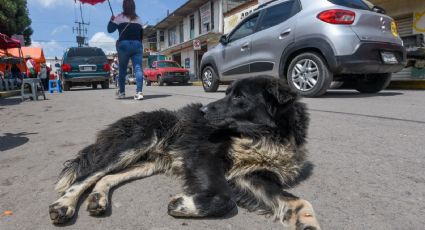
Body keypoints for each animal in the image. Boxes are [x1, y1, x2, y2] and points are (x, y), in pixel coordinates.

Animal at [49, 76, 320, 230]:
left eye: (239, 97)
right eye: (227, 93)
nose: (202, 110)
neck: (261, 137)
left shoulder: (252, 175)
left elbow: (298, 200)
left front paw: (307, 222)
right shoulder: (203, 155)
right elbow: (224, 198)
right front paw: (183, 204)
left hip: (146, 163)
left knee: (106, 177)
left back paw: (98, 199)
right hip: (133, 144)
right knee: (87, 175)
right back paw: (63, 205)